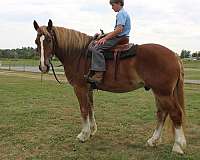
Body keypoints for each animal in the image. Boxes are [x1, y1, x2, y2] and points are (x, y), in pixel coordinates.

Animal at [33, 19, 187, 154]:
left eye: (49, 40)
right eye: (36, 41)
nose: (43, 66)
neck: (78, 54)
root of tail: (174, 55)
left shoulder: (80, 88)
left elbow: (84, 109)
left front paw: (83, 134)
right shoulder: (89, 89)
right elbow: (90, 108)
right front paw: (92, 130)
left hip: (163, 93)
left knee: (175, 113)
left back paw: (178, 146)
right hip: (159, 92)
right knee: (162, 113)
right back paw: (153, 140)